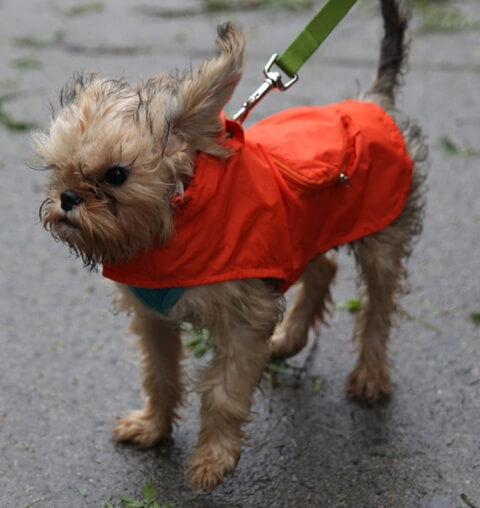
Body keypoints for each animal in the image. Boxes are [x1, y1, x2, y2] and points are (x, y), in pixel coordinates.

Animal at [34, 0, 428, 492]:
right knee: (323, 269)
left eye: (117, 174)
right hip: (303, 229)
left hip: (381, 236)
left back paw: (371, 375)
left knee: (378, 306)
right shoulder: (154, 317)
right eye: (58, 168)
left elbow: (223, 394)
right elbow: (160, 375)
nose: (68, 198)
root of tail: (375, 99)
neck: (175, 224)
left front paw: (213, 459)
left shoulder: (244, 320)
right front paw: (154, 427)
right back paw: (290, 338)